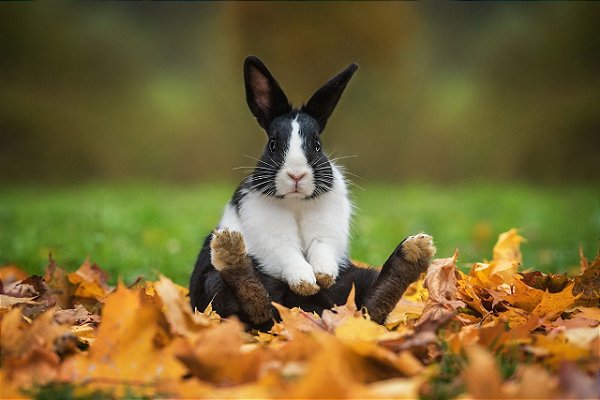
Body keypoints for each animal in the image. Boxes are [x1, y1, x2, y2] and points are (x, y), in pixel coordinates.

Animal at [189, 56, 436, 328]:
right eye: (272, 144)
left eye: (317, 145)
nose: (296, 175)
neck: (296, 202)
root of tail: (306, 311)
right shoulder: (270, 234)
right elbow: (287, 252)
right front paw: (306, 283)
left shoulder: (326, 232)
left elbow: (321, 247)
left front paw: (323, 276)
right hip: (213, 283)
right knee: (255, 305)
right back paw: (231, 251)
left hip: (357, 279)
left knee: (370, 308)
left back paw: (413, 253)